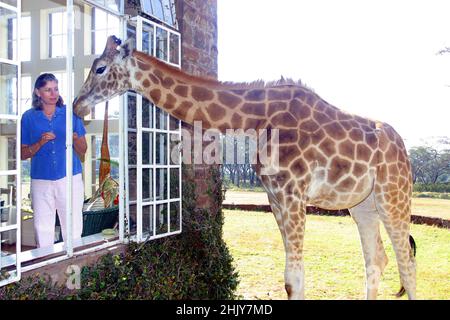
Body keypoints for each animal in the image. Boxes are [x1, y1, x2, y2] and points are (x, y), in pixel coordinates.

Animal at [73, 37, 414, 300]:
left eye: (100, 68)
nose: (77, 104)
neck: (256, 117)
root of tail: (403, 148)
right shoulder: (275, 197)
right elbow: (290, 280)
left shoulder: (294, 194)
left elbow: (296, 278)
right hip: (363, 204)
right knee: (377, 259)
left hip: (393, 196)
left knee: (406, 261)